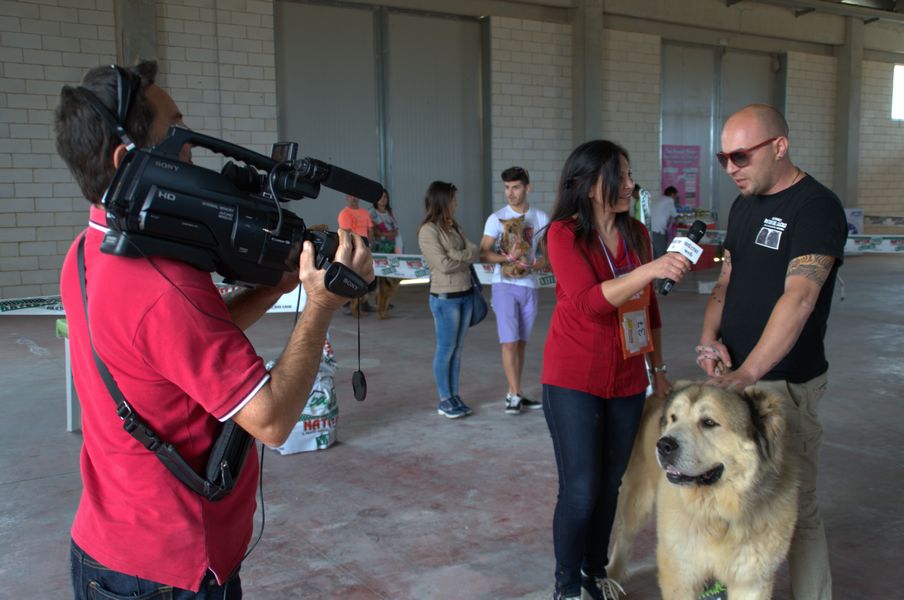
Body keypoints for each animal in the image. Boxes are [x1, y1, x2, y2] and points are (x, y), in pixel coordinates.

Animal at [608, 384, 800, 600]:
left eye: (708, 422)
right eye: (674, 418)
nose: (663, 445)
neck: (719, 512)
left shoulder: (751, 578)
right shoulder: (681, 569)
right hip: (636, 501)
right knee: (624, 540)